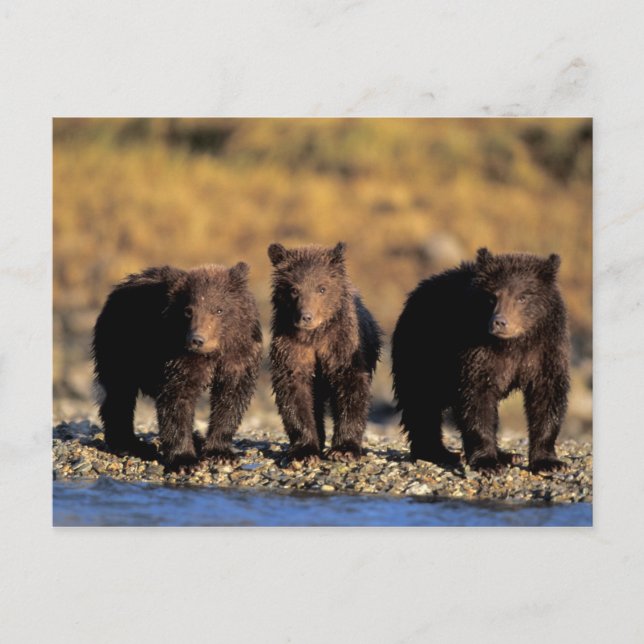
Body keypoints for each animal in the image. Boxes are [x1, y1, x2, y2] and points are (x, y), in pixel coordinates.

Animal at [92, 262, 263, 469]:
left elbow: (231, 398)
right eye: (188, 310)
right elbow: (177, 401)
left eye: (219, 310)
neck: (213, 354)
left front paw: (220, 452)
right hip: (120, 346)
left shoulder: (238, 357)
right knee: (118, 393)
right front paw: (185, 460)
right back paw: (129, 444)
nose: (197, 340)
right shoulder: (179, 359)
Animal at [268, 242, 382, 463]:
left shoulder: (341, 345)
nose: (306, 316)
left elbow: (351, 388)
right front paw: (305, 451)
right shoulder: (292, 349)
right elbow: (295, 393)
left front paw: (344, 449)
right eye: (293, 289)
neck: (314, 337)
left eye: (322, 288)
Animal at [391, 247, 570, 473]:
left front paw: (549, 462)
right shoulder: (477, 353)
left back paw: (507, 455)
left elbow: (546, 396)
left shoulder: (544, 352)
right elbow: (476, 399)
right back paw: (438, 452)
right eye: (492, 297)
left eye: (522, 297)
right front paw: (487, 462)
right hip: (421, 353)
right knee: (421, 402)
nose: (499, 322)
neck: (513, 344)